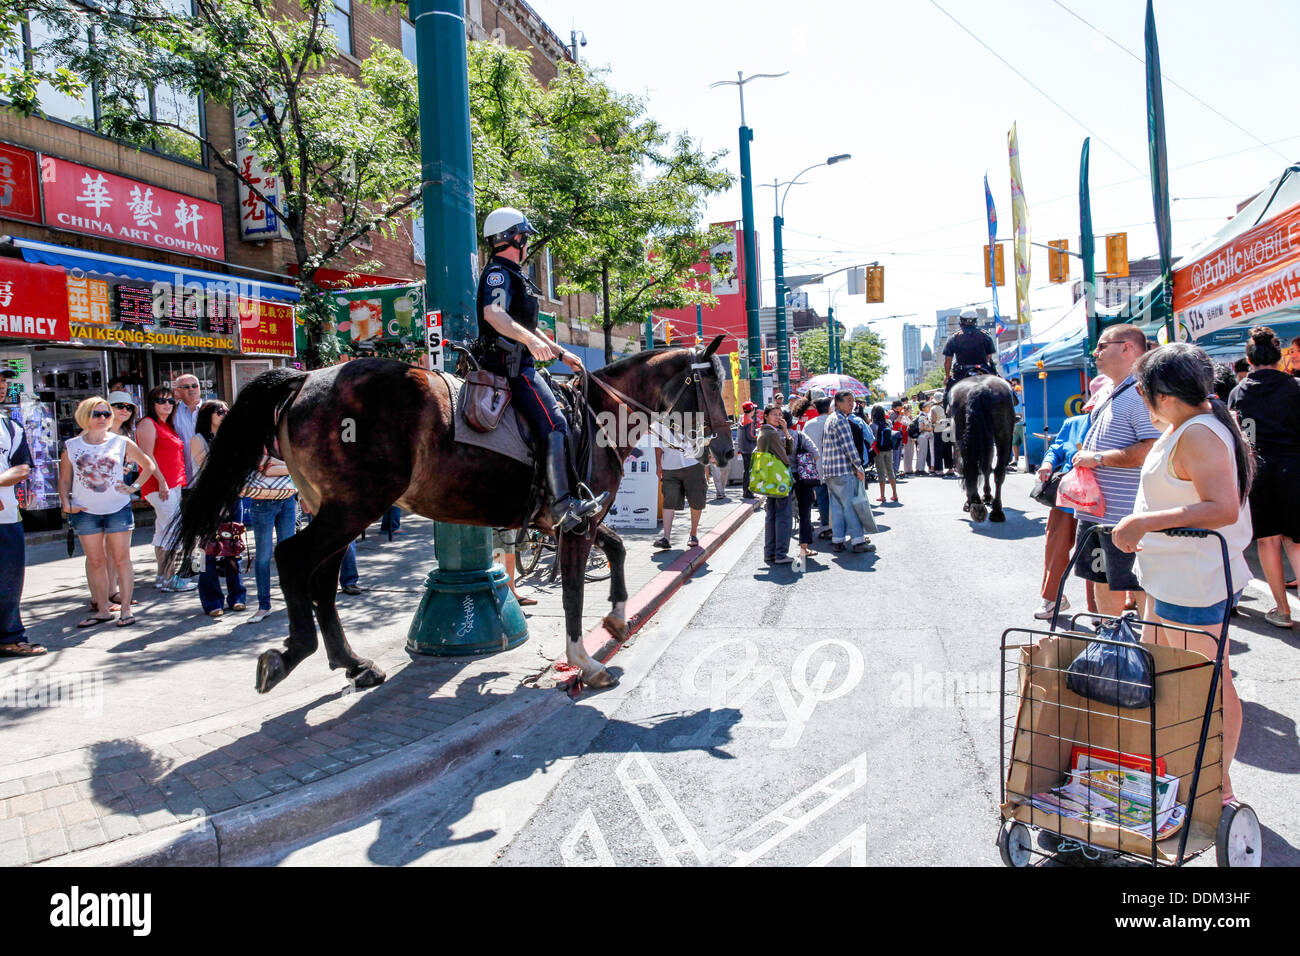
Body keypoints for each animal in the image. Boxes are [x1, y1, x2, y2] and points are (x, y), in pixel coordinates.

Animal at [178, 335, 738, 697]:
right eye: (709, 386)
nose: (728, 450)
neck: (597, 416)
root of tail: (306, 378)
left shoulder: (569, 519)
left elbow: (618, 549)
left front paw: (619, 617)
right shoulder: (575, 522)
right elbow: (574, 593)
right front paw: (585, 663)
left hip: (337, 511)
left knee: (321, 581)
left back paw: (354, 665)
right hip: (353, 508)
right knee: (293, 559)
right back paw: (291, 653)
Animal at [946, 374, 1013, 522]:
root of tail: (979, 388)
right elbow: (986, 467)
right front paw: (987, 495)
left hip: (961, 436)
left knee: (969, 468)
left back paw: (973, 502)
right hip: (1003, 435)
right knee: (998, 471)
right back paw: (996, 510)